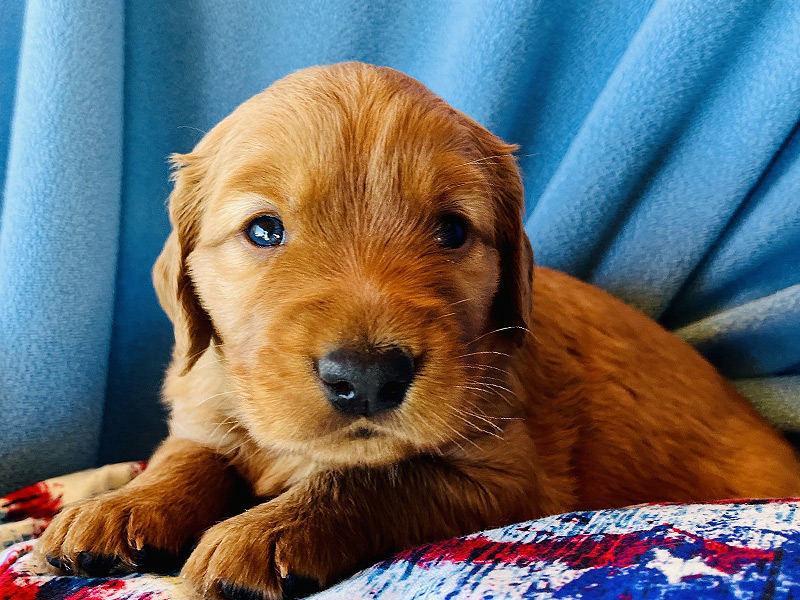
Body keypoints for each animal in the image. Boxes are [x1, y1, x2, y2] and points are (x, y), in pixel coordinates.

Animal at [37, 63, 800, 596]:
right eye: (264, 230)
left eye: (452, 231)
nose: (368, 377)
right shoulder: (207, 395)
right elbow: (188, 455)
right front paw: (120, 508)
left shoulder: (506, 474)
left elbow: (376, 480)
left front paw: (267, 529)